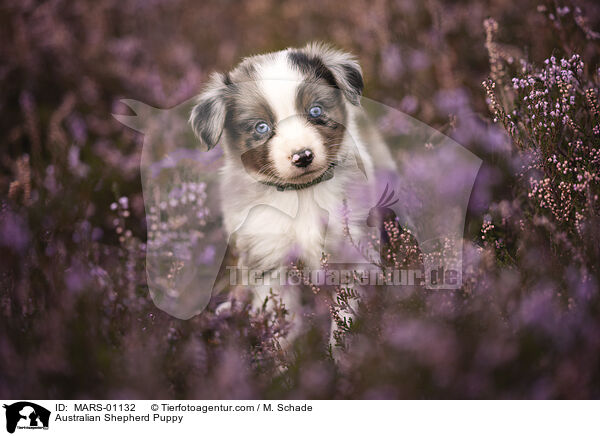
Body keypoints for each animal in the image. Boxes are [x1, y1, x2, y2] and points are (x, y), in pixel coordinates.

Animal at [189, 41, 394, 338]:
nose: (302, 156)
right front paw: (285, 349)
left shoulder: (352, 247)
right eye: (261, 127)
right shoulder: (269, 258)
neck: (302, 193)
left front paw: (342, 347)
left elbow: (345, 315)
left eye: (315, 111)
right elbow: (282, 318)